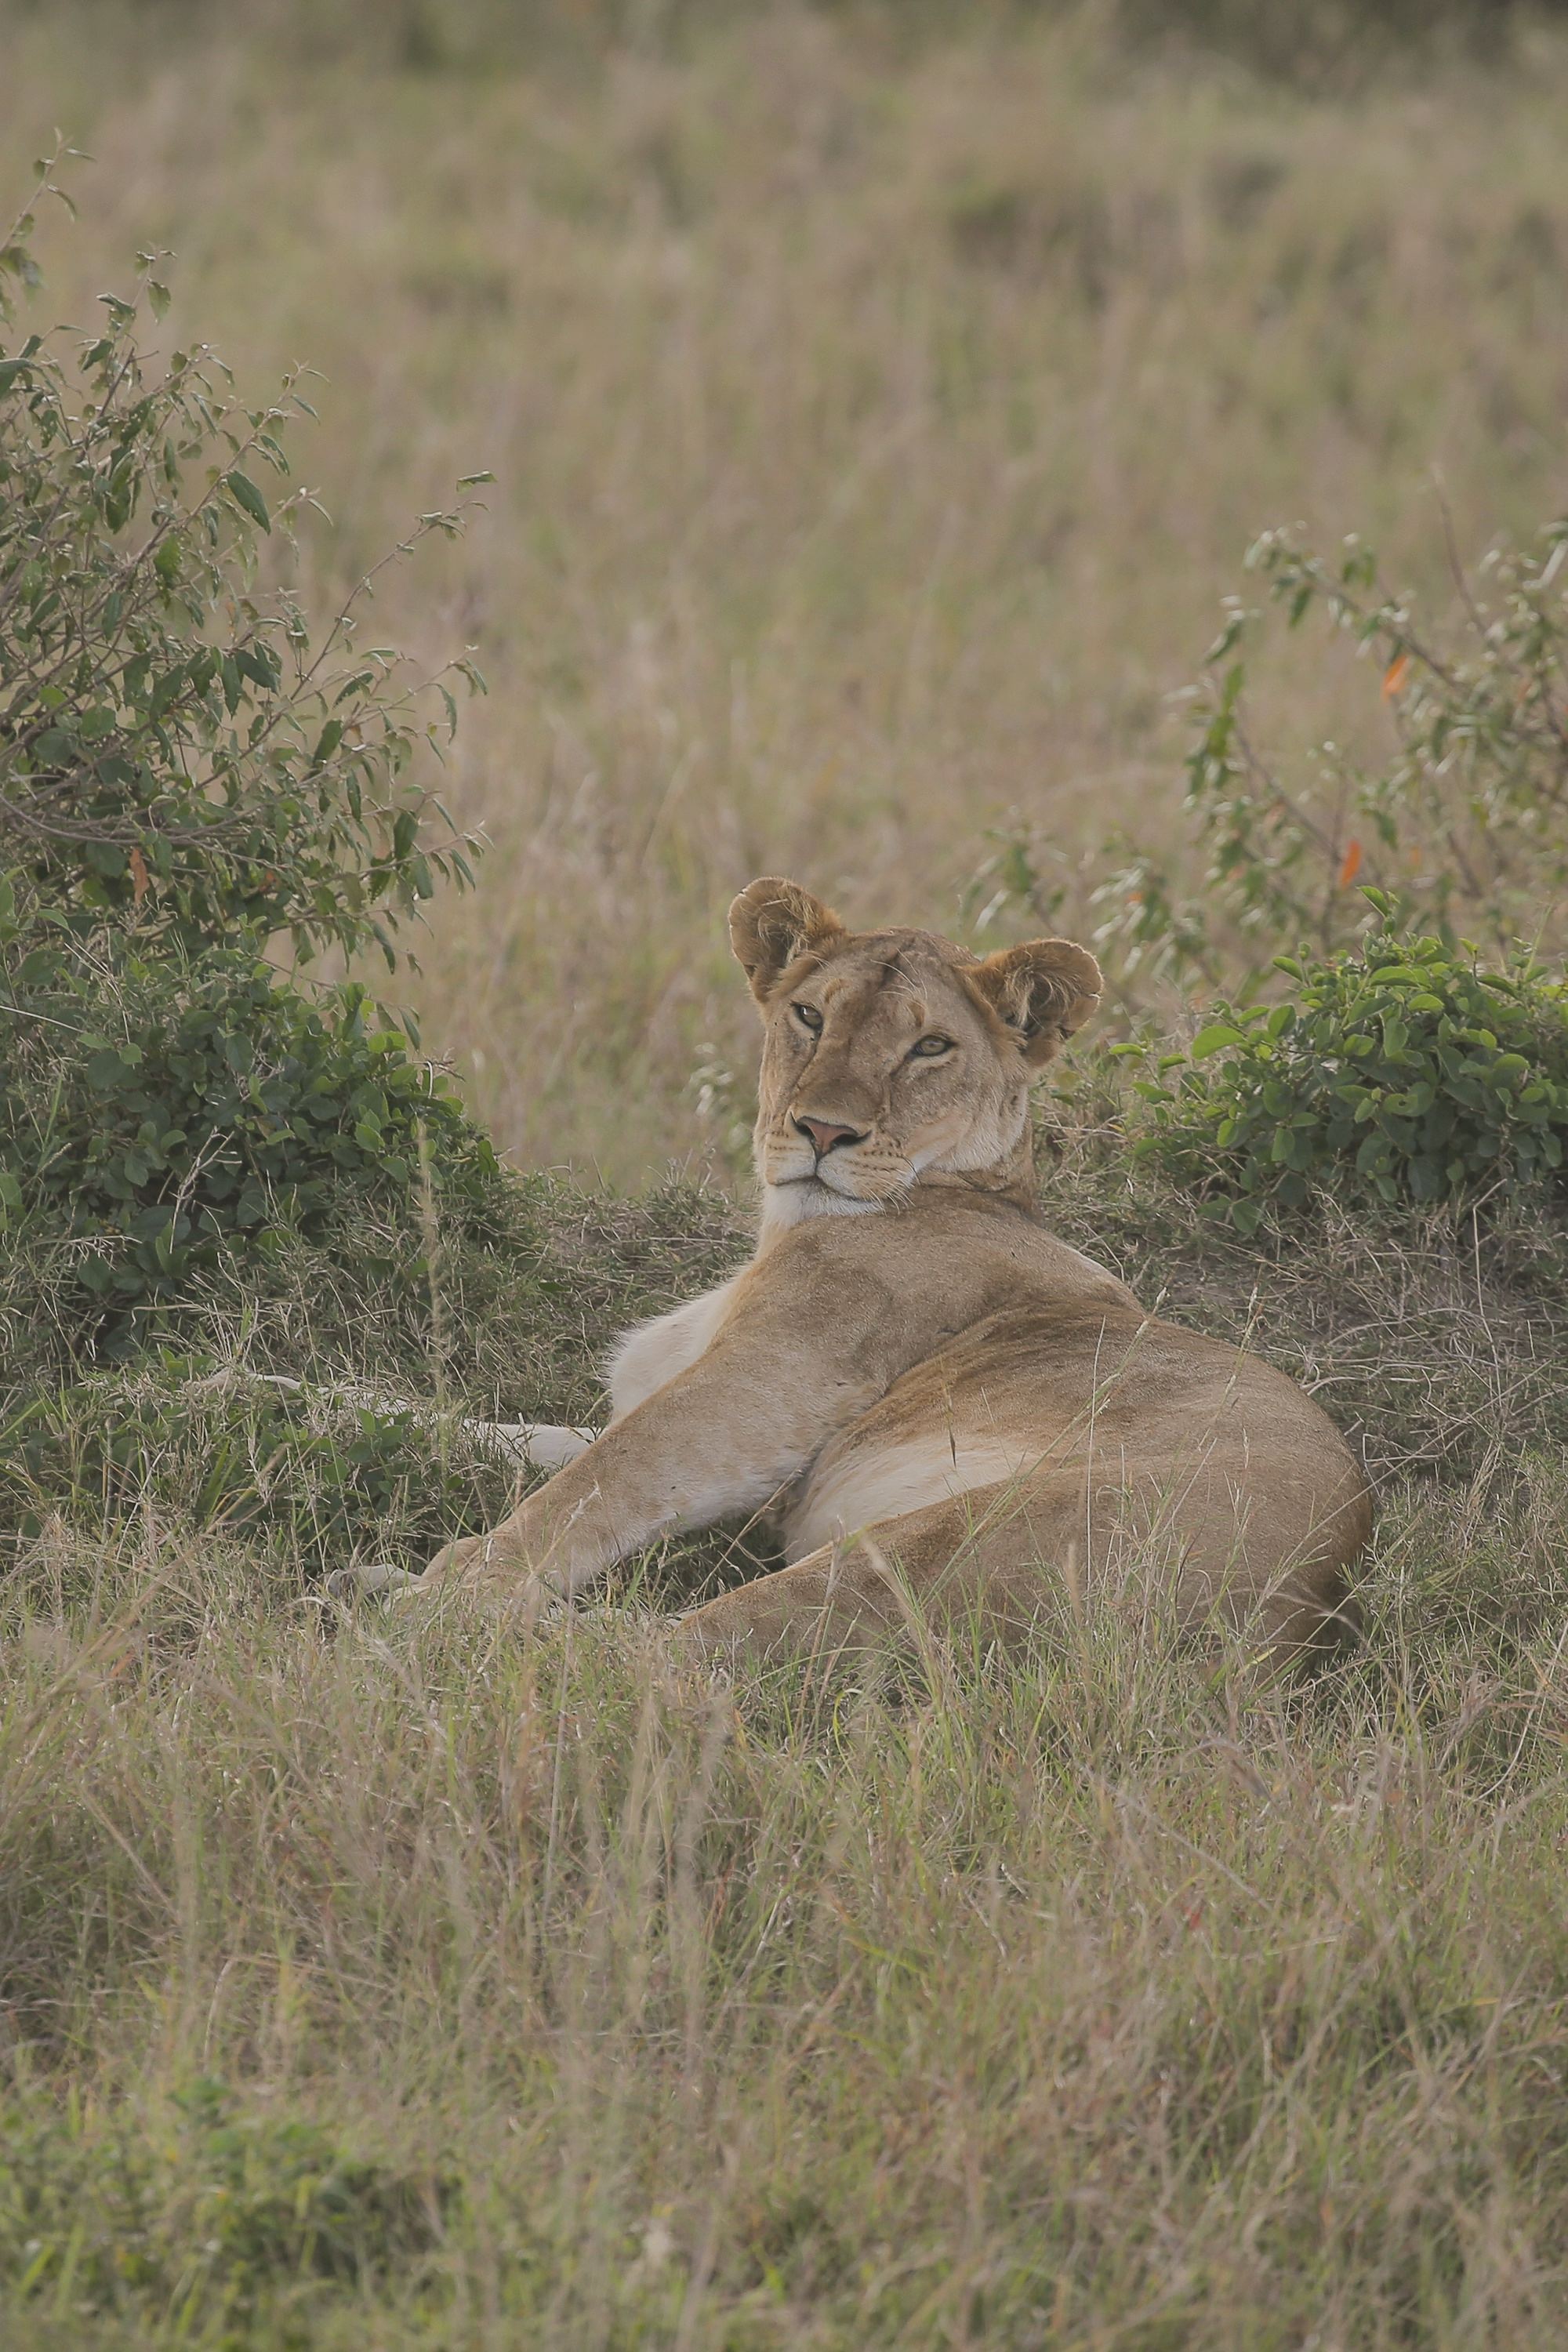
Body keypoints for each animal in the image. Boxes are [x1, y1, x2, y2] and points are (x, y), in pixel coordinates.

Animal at [361, 879, 1370, 1664]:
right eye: (810, 1015)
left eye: (929, 1047)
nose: (821, 1130)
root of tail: (1307, 1621)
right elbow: (494, 1434)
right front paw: (324, 1402)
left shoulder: (764, 1390)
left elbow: (587, 1491)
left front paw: (453, 1588)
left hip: (932, 1549)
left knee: (681, 1654)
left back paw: (392, 1611)